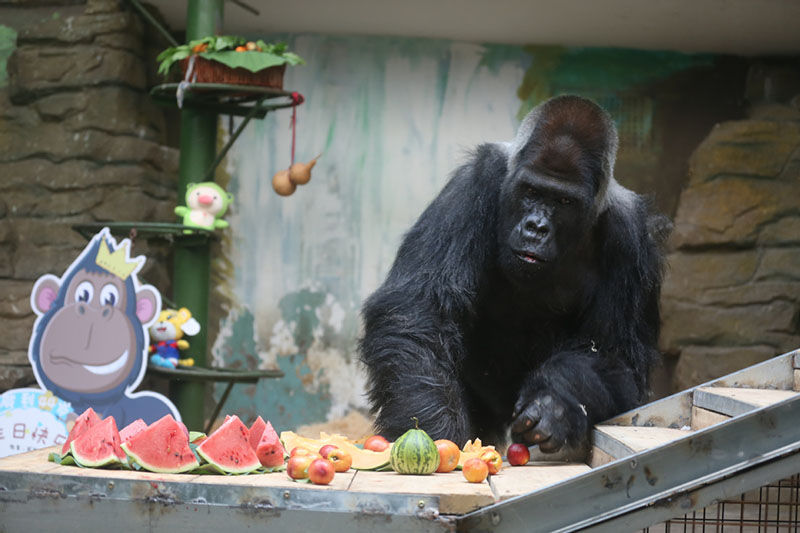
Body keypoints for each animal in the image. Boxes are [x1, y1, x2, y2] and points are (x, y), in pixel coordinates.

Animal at [358, 93, 668, 456]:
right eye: (531, 191)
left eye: (564, 201)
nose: (536, 228)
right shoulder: (476, 181)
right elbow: (419, 310)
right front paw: (434, 429)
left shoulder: (631, 237)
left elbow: (616, 358)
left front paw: (555, 403)